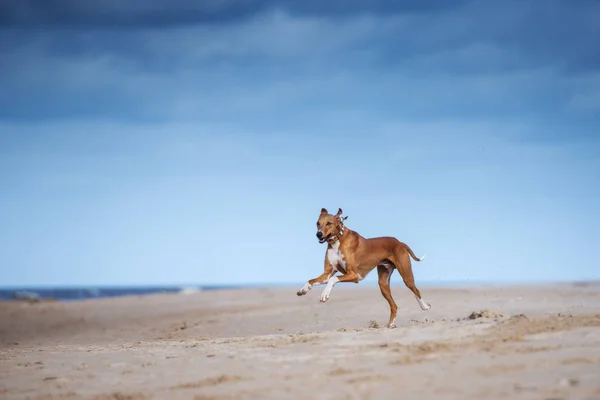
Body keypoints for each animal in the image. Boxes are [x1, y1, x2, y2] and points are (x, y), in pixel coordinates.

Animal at [296, 206, 432, 328]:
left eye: (329, 223)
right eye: (317, 223)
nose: (318, 234)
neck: (338, 239)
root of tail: (400, 242)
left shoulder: (354, 275)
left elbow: (333, 279)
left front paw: (325, 294)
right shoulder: (327, 273)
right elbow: (312, 280)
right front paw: (303, 289)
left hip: (406, 276)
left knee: (416, 290)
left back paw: (425, 306)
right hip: (383, 283)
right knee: (394, 305)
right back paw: (391, 324)